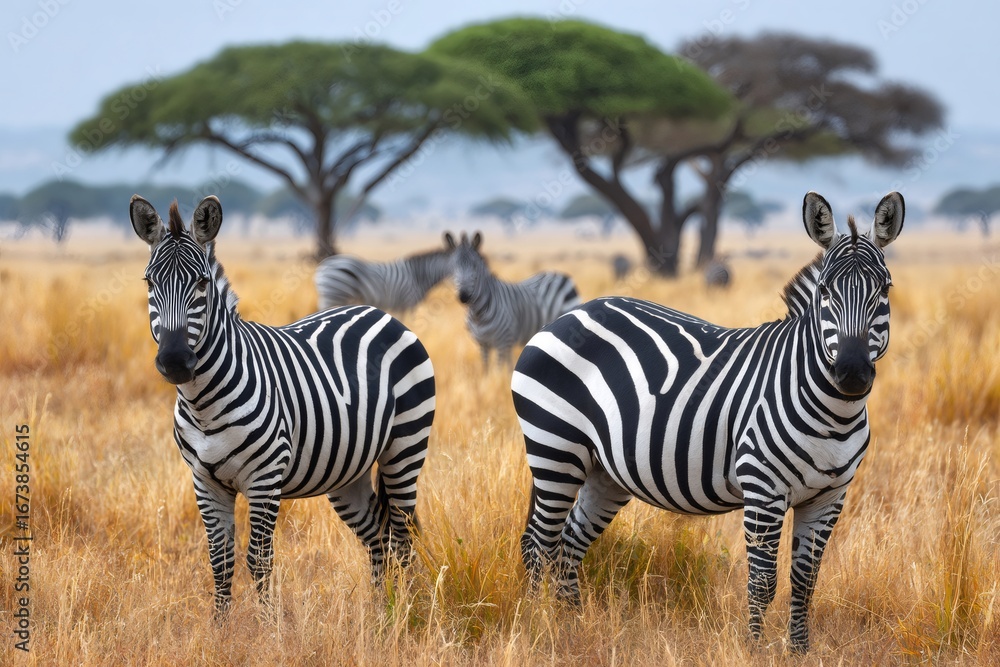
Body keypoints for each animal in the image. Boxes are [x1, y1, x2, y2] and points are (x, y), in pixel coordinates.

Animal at [129, 195, 435, 615]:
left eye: (202, 283)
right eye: (149, 282)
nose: (175, 361)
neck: (202, 405)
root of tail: (378, 312)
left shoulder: (264, 479)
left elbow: (259, 559)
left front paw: (267, 626)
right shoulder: (204, 481)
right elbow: (219, 560)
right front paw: (219, 628)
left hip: (404, 448)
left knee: (402, 536)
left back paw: (404, 612)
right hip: (348, 472)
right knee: (378, 534)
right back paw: (379, 611)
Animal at [445, 231, 581, 368]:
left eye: (474, 266)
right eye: (453, 267)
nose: (464, 296)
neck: (478, 315)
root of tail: (562, 275)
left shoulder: (503, 341)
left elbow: (498, 368)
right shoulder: (482, 344)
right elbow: (486, 369)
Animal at [512, 191, 904, 653]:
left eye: (885, 289)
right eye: (825, 290)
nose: (852, 372)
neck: (833, 416)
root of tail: (566, 317)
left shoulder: (830, 497)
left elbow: (805, 583)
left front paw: (801, 652)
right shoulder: (763, 489)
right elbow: (763, 582)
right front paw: (754, 651)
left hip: (603, 471)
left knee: (569, 545)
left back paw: (571, 626)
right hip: (555, 449)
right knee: (538, 543)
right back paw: (539, 629)